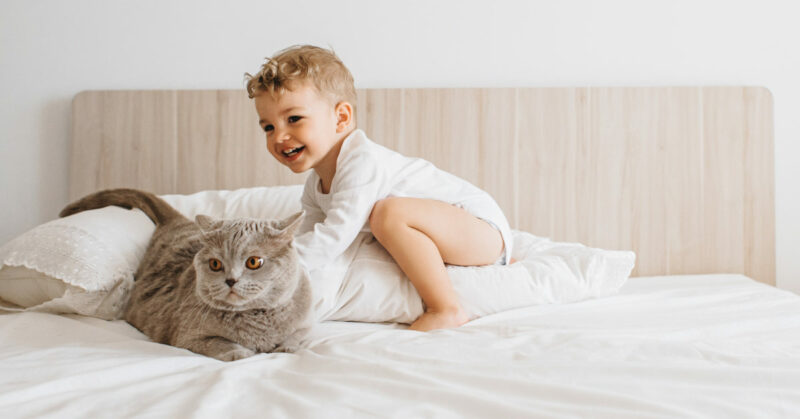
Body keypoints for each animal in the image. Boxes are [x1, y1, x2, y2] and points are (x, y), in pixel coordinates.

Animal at [59, 188, 312, 361]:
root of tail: (179, 220)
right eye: (215, 264)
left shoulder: (306, 324)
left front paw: (286, 347)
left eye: (253, 262)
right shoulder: (187, 337)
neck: (258, 320)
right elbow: (221, 343)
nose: (231, 280)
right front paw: (242, 353)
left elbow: (297, 337)